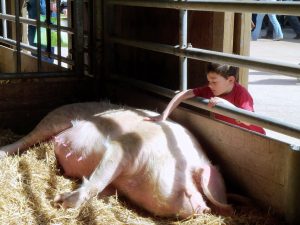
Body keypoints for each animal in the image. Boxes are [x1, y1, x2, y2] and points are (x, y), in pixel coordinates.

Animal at [0, 101, 232, 218]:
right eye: (193, 181)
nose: (205, 208)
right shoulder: (123, 146)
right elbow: (98, 179)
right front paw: (59, 201)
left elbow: (102, 187)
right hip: (54, 119)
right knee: (26, 139)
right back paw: (3, 151)